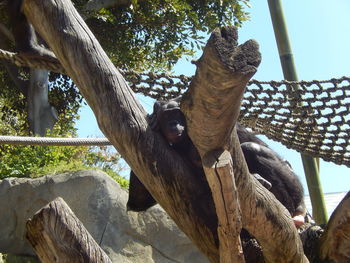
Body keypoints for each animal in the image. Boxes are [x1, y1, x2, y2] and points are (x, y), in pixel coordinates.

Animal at [128, 98, 306, 228]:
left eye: (178, 114)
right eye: (167, 115)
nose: (174, 123)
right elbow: (138, 201)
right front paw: (153, 116)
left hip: (294, 187)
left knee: (252, 148)